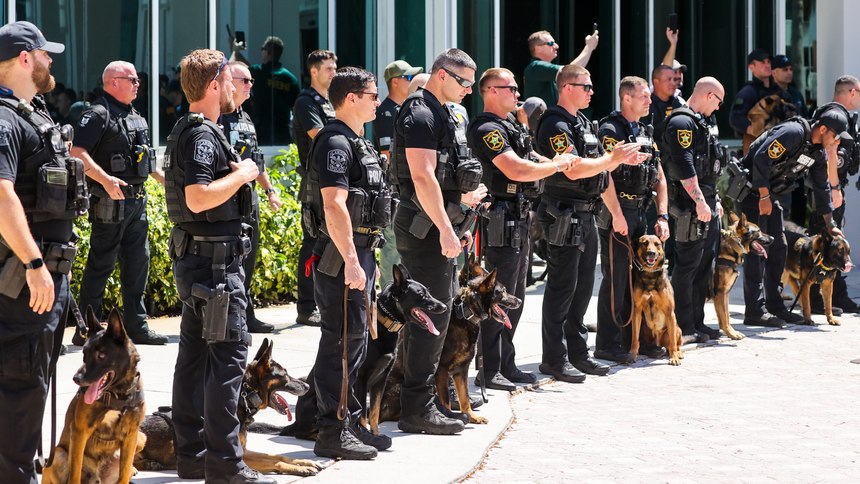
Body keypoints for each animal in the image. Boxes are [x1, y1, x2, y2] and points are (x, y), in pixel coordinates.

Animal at [134, 338, 322, 478]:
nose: (307, 386)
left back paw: (149, 463)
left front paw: (304, 462)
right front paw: (300, 468)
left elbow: (278, 456)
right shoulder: (240, 457)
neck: (243, 400)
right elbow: (276, 462)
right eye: (284, 375)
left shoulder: (245, 450)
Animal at [376, 253, 524, 428]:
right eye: (503, 291)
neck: (465, 313)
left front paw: (472, 416)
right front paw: (449, 416)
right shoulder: (441, 371)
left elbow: (464, 398)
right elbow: (445, 401)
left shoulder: (462, 370)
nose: (520, 301)